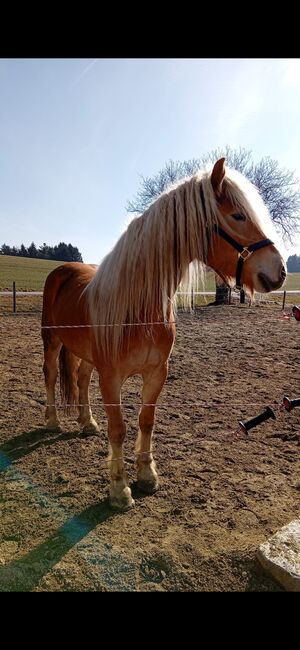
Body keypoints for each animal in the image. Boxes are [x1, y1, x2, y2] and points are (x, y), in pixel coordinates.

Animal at [40, 157, 286, 506]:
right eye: (238, 216)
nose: (280, 271)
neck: (139, 308)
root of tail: (62, 271)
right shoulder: (111, 377)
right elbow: (119, 429)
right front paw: (119, 489)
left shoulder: (157, 372)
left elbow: (146, 421)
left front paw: (146, 476)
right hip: (51, 340)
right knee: (50, 375)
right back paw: (52, 421)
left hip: (85, 354)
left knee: (81, 379)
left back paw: (87, 422)